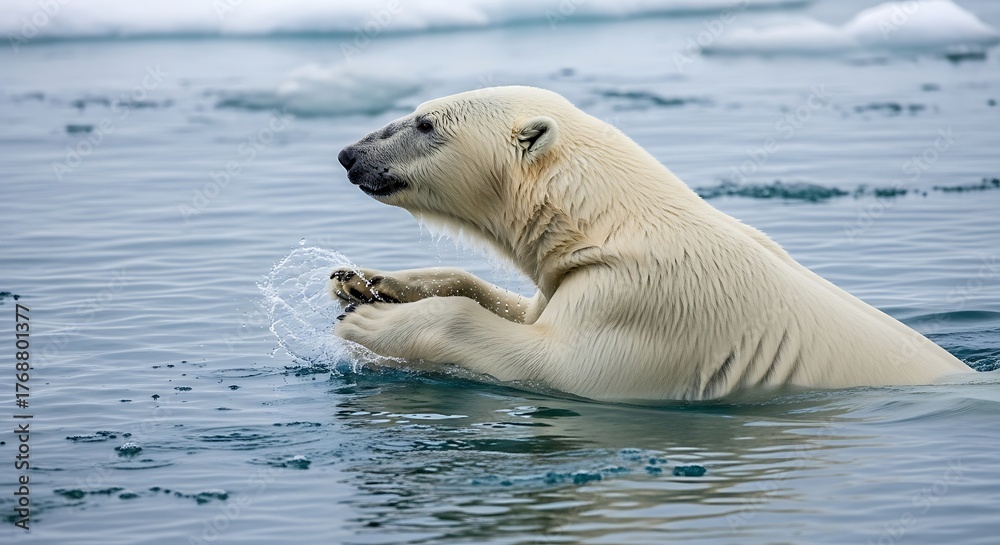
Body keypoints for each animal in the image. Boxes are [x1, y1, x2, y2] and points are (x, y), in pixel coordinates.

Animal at [330, 85, 972, 402]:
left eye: (426, 124)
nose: (349, 154)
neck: (611, 221)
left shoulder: (643, 302)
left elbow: (554, 361)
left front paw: (372, 322)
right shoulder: (577, 277)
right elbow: (522, 308)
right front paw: (365, 282)